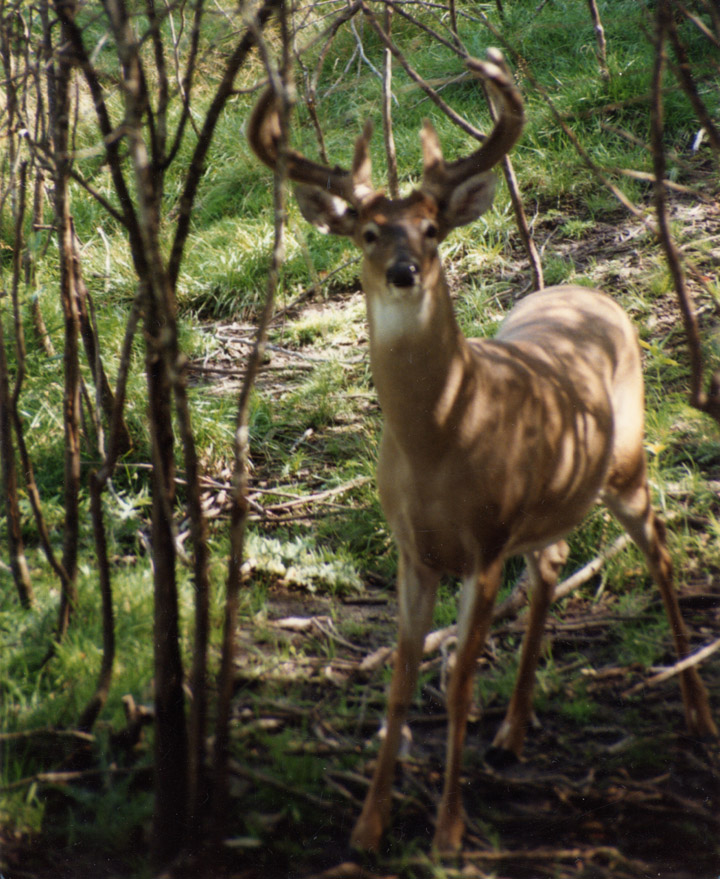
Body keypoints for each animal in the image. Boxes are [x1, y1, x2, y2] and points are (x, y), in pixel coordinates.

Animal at [246, 51, 716, 856]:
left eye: (432, 228)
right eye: (367, 232)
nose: (405, 272)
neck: (443, 436)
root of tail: (588, 290)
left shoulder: (486, 542)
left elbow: (460, 679)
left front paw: (448, 833)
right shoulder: (413, 549)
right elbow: (402, 681)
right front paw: (368, 827)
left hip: (626, 464)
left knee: (657, 549)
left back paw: (695, 713)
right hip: (554, 498)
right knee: (553, 563)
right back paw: (512, 734)